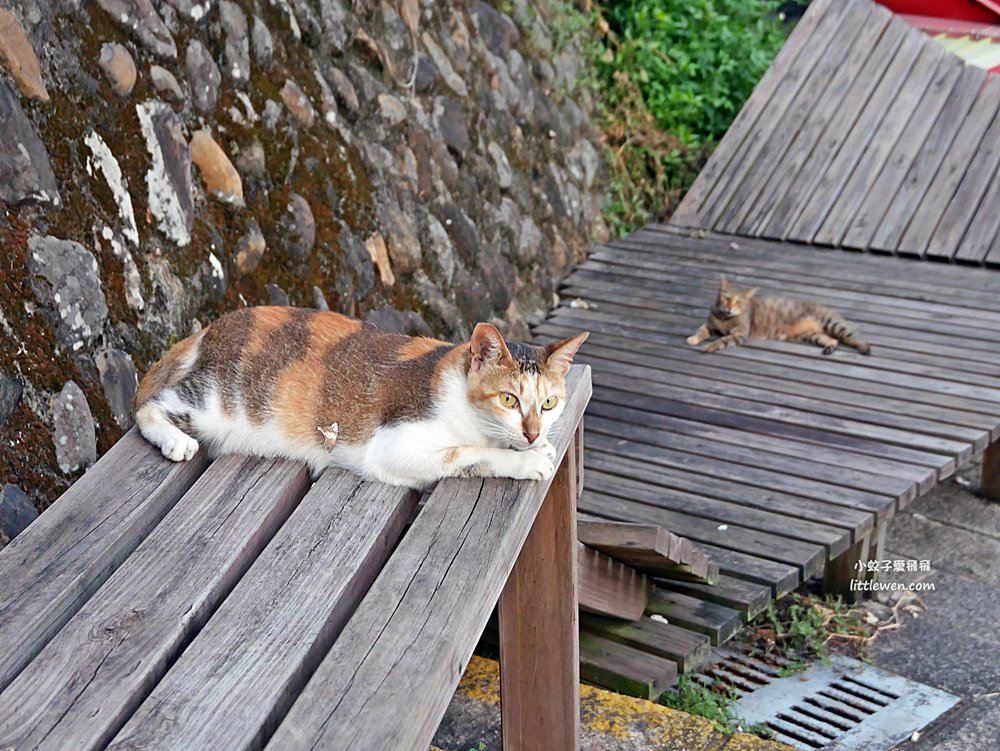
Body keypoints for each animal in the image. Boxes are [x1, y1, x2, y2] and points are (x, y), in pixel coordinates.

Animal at [133, 308, 584, 490]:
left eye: (548, 404)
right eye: (509, 399)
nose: (532, 433)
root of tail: (211, 327)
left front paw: (536, 446)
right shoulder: (394, 448)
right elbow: (468, 455)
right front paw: (526, 461)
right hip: (213, 401)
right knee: (146, 407)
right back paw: (175, 440)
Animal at [684, 278, 872, 356]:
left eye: (739, 301)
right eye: (727, 298)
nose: (730, 307)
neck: (725, 319)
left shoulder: (740, 333)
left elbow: (721, 341)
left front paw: (709, 347)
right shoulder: (710, 325)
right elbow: (701, 331)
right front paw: (693, 339)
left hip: (832, 324)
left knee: (851, 338)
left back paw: (864, 348)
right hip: (813, 335)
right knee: (833, 340)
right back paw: (829, 349)